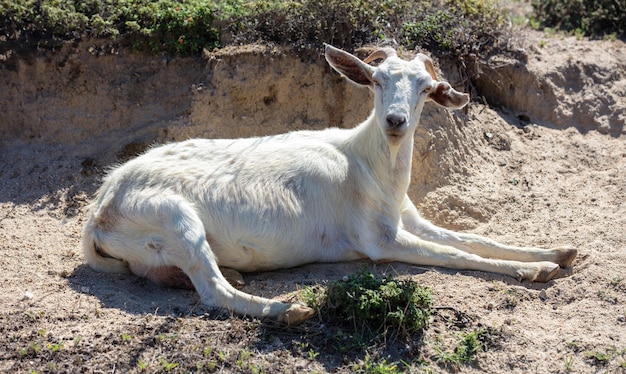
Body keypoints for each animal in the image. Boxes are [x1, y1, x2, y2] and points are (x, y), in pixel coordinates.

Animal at [83, 43, 576, 324]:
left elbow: (476, 238)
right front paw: (536, 270)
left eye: (425, 87)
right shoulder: (379, 240)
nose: (395, 120)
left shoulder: (409, 220)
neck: (366, 165)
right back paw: (288, 311)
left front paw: (558, 250)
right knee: (213, 293)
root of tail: (99, 213)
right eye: (377, 80)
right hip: (175, 218)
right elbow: (459, 255)